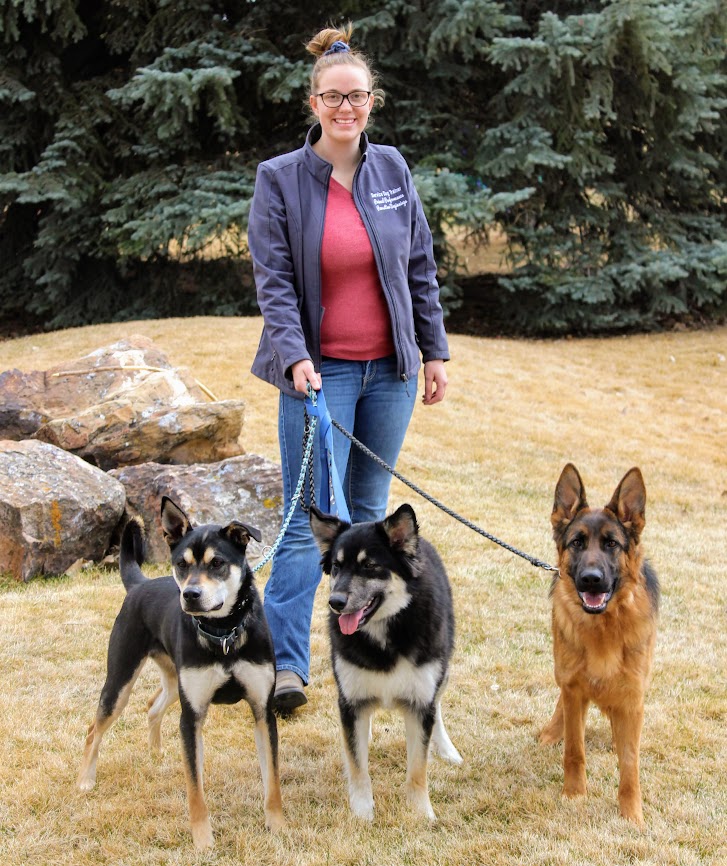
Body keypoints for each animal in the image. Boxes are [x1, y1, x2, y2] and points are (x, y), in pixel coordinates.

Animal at [77, 496, 284, 848]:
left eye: (217, 563)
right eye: (181, 564)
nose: (190, 595)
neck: (223, 632)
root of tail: (140, 584)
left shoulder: (262, 711)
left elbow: (272, 780)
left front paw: (278, 825)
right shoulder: (192, 716)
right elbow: (195, 788)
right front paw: (203, 841)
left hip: (175, 682)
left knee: (151, 706)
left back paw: (156, 754)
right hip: (120, 681)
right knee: (94, 729)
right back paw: (86, 780)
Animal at [310, 502, 464, 820]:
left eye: (370, 566)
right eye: (336, 567)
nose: (335, 602)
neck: (384, 633)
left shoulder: (420, 703)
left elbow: (418, 768)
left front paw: (421, 813)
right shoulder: (351, 701)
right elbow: (357, 764)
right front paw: (362, 813)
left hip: (442, 672)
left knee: (439, 708)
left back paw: (446, 749)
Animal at [540, 462, 660, 828]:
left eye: (611, 544)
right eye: (577, 543)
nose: (591, 579)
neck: (604, 627)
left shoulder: (633, 699)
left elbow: (630, 765)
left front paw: (631, 814)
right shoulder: (574, 688)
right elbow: (574, 749)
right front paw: (574, 795)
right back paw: (552, 732)